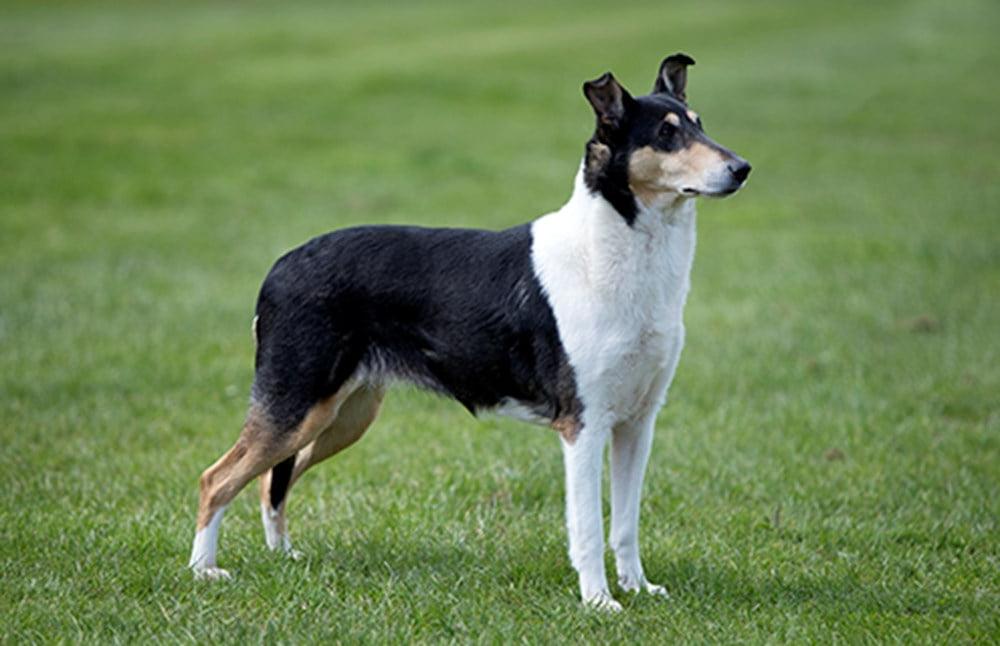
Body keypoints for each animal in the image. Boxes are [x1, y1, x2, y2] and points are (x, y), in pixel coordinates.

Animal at [189, 52, 752, 612]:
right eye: (666, 134)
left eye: (700, 123)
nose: (741, 169)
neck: (618, 258)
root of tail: (280, 264)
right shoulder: (583, 424)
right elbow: (590, 526)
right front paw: (599, 602)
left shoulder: (638, 421)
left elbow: (626, 523)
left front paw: (638, 588)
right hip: (296, 402)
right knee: (218, 478)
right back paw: (204, 571)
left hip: (342, 414)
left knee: (271, 478)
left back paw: (283, 555)